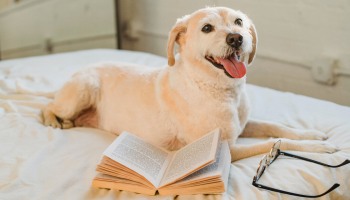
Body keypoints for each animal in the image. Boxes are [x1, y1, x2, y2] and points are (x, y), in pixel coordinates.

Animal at [41, 7, 340, 162]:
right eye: (207, 28)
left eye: (239, 21)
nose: (236, 38)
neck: (221, 90)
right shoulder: (226, 148)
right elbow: (272, 143)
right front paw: (317, 149)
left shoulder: (243, 125)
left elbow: (275, 127)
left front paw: (311, 134)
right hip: (83, 89)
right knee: (47, 106)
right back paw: (54, 120)